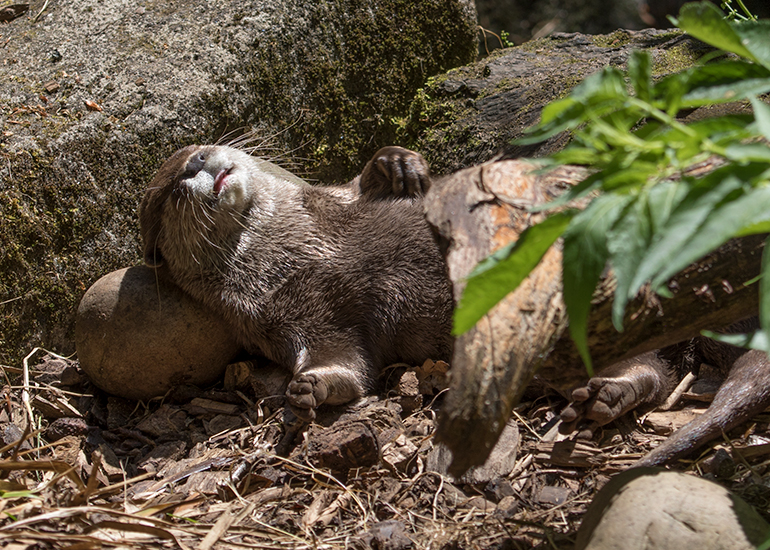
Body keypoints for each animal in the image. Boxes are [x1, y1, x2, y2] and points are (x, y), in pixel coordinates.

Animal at [139, 145, 453, 421]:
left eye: (197, 148)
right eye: (171, 191)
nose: (194, 163)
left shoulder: (336, 198)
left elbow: (363, 184)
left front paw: (397, 161)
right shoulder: (279, 323)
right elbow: (345, 362)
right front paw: (312, 386)